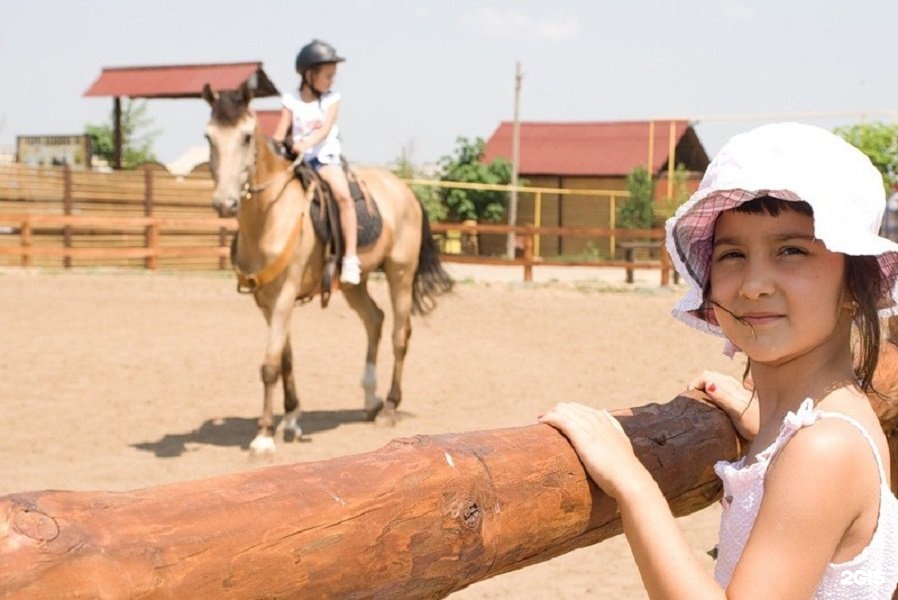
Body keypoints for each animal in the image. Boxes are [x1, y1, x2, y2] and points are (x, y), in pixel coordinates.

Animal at [204, 82, 456, 452]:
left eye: (247, 137)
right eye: (208, 137)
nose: (225, 202)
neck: (270, 218)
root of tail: (405, 191)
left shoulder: (285, 294)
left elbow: (269, 364)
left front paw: (264, 436)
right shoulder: (265, 301)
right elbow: (285, 358)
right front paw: (291, 419)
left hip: (400, 273)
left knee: (399, 334)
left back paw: (389, 407)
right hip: (355, 284)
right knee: (375, 320)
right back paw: (371, 400)